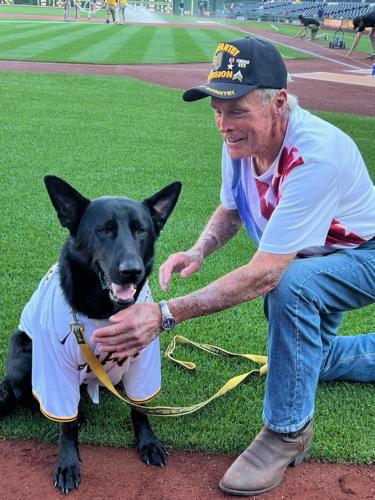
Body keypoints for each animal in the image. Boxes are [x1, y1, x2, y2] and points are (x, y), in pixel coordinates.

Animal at [0, 175, 182, 492]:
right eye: (104, 230)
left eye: (141, 230)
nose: (132, 271)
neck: (104, 312)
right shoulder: (54, 369)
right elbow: (66, 426)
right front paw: (68, 463)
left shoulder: (144, 362)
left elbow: (140, 409)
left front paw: (148, 443)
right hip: (22, 352)